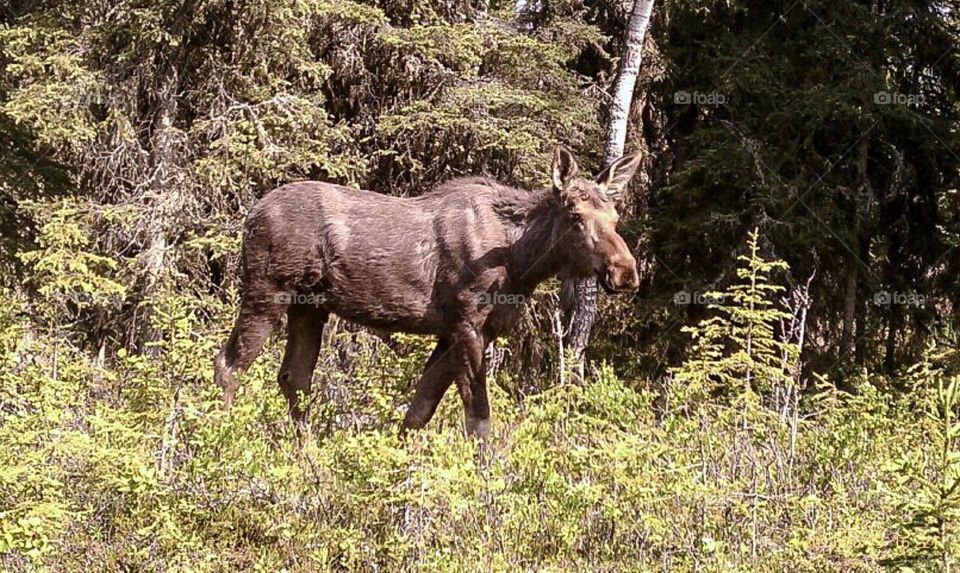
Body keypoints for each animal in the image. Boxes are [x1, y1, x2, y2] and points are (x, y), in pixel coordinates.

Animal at [214, 145, 640, 436]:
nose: (626, 272)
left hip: (310, 305)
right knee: (229, 364)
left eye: (616, 215)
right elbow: (478, 416)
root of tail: (250, 216)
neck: (522, 263)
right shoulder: (468, 322)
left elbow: (420, 409)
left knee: (294, 378)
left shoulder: (452, 332)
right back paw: (223, 438)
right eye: (575, 216)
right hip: (267, 290)